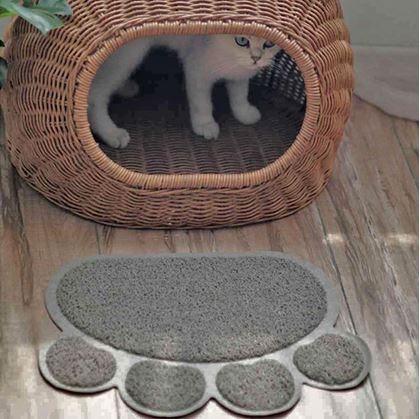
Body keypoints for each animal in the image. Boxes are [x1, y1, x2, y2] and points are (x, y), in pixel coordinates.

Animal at [88, 35, 280, 148]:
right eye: (241, 40)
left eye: (269, 43)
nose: (256, 58)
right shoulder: (197, 69)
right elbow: (202, 104)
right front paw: (205, 125)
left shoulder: (240, 74)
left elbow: (240, 95)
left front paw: (244, 113)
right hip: (129, 55)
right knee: (95, 95)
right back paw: (112, 133)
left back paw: (126, 87)